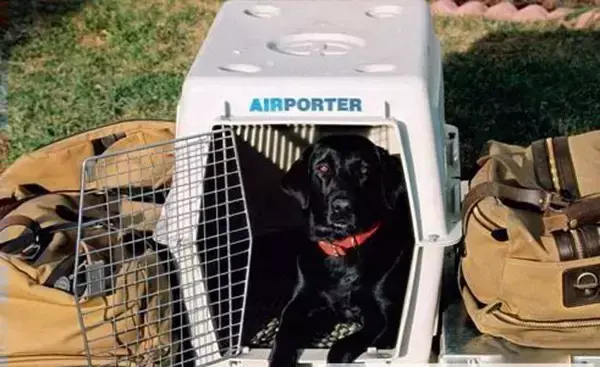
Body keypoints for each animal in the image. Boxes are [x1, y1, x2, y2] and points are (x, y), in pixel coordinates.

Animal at [270, 135, 414, 367]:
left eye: (364, 170)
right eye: (323, 167)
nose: (342, 207)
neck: (342, 248)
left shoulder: (384, 314)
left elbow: (343, 346)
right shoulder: (299, 303)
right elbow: (284, 332)